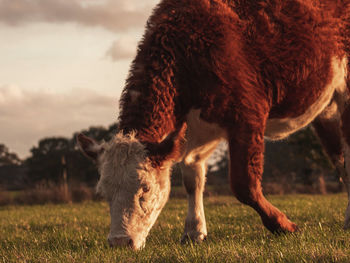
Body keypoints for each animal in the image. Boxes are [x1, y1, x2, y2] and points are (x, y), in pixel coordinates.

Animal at [78, 0, 350, 252]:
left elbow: (244, 185)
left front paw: (283, 225)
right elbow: (193, 179)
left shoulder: (248, 117)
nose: (119, 242)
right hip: (326, 109)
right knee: (340, 161)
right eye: (104, 193)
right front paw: (194, 231)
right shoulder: (195, 132)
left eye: (144, 189)